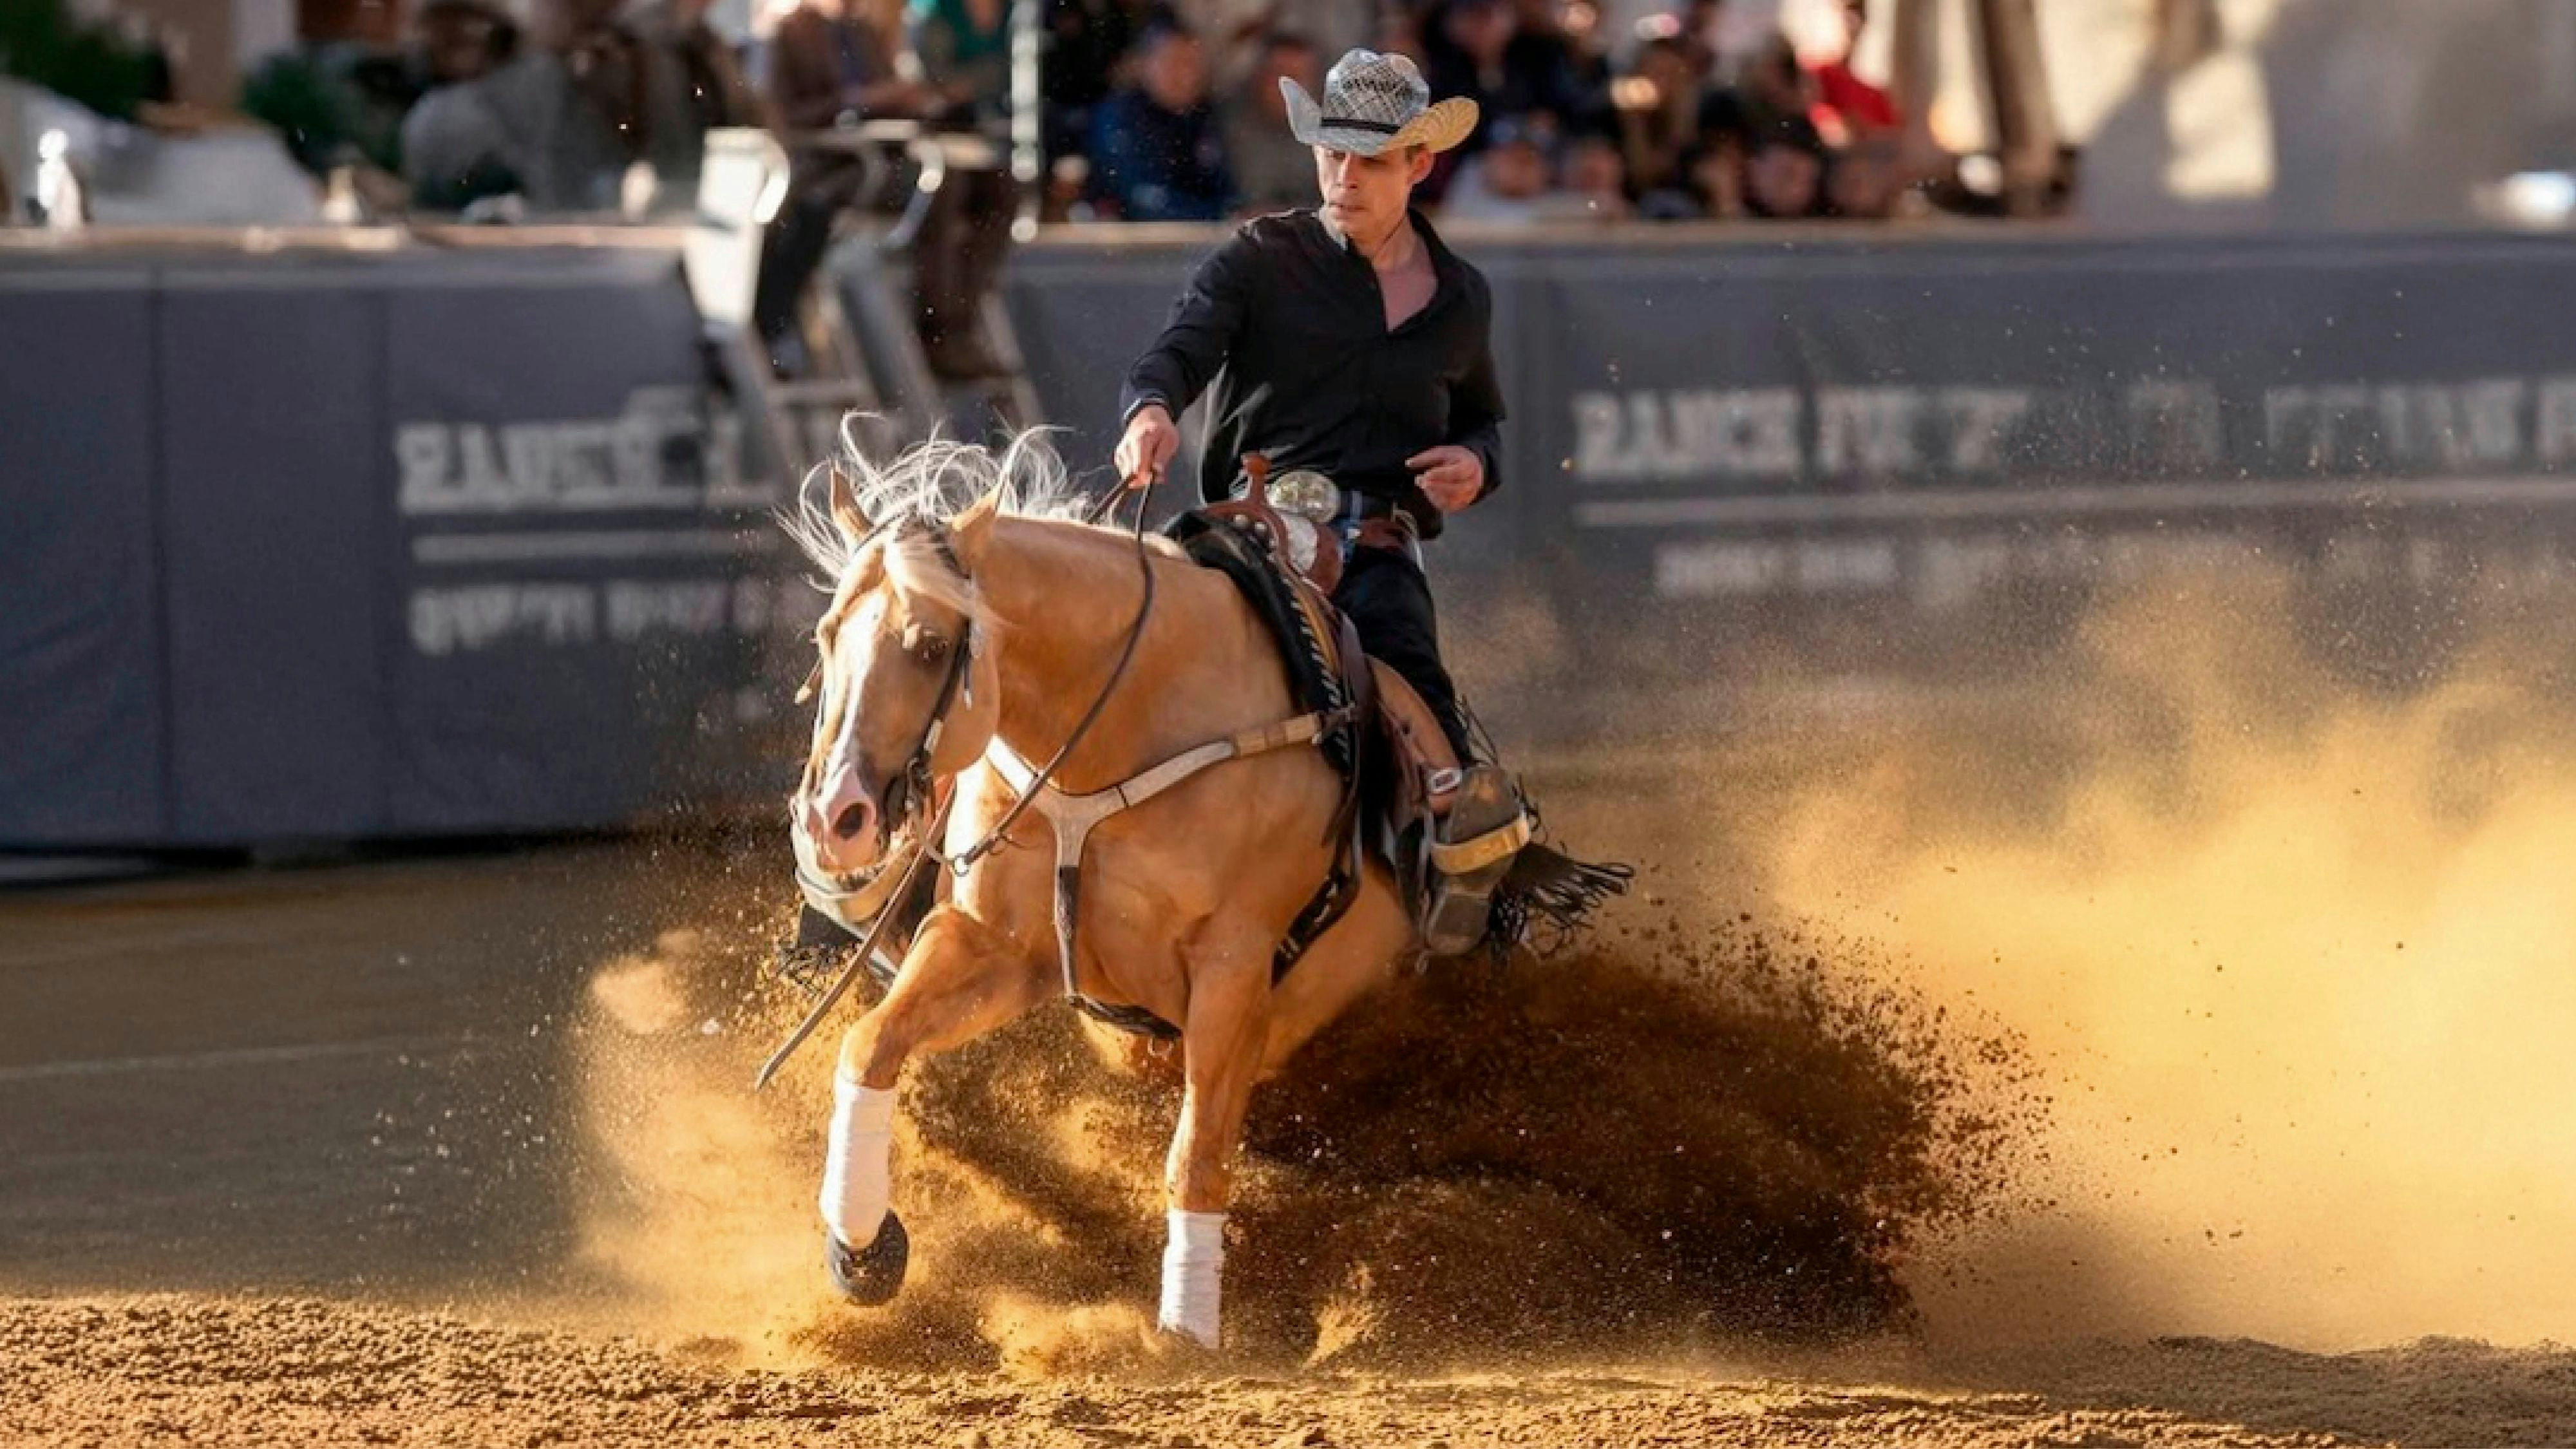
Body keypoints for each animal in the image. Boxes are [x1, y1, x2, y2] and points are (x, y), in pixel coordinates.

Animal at [780, 429, 1596, 1348]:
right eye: (827, 635)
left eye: (928, 646)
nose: (834, 816)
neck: (1119, 730)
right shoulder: (990, 947)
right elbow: (870, 1044)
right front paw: (860, 1249)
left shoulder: (1233, 973)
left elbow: (1195, 1158)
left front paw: (1186, 1335)